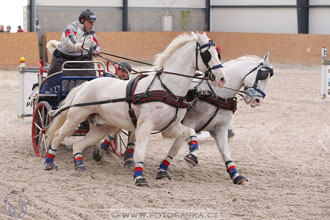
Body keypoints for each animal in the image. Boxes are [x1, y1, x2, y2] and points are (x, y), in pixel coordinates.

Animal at [44, 32, 227, 186]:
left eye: (218, 54)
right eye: (207, 54)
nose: (222, 79)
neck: (167, 88)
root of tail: (87, 83)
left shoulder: (170, 128)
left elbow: (190, 132)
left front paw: (192, 155)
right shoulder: (145, 126)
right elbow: (140, 151)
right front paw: (139, 177)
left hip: (102, 128)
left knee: (78, 144)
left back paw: (79, 166)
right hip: (75, 117)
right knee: (58, 135)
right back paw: (49, 163)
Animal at [156, 52, 274, 184]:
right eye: (262, 75)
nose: (258, 101)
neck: (217, 94)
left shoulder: (220, 129)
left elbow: (225, 152)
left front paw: (236, 175)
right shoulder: (189, 122)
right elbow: (176, 147)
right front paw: (164, 169)